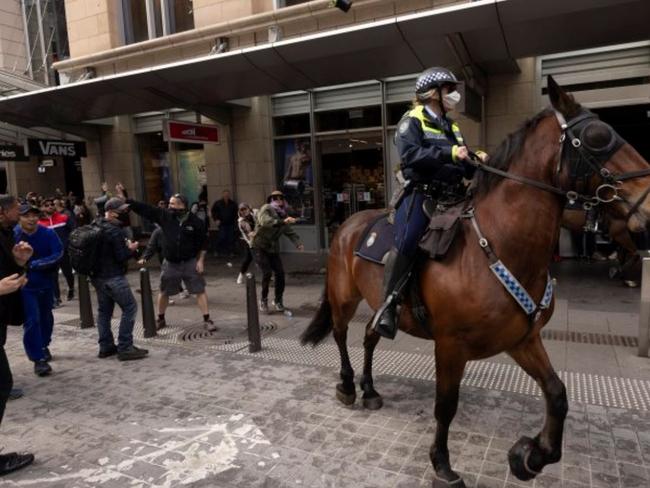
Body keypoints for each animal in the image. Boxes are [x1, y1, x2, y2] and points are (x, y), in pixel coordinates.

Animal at [302, 78, 648, 486]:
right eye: (598, 136)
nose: (648, 202)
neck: (500, 244)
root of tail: (347, 224)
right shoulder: (451, 346)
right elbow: (445, 406)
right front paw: (442, 464)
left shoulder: (522, 339)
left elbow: (557, 392)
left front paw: (530, 455)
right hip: (344, 298)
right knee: (342, 336)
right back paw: (346, 385)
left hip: (377, 302)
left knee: (371, 336)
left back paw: (369, 389)